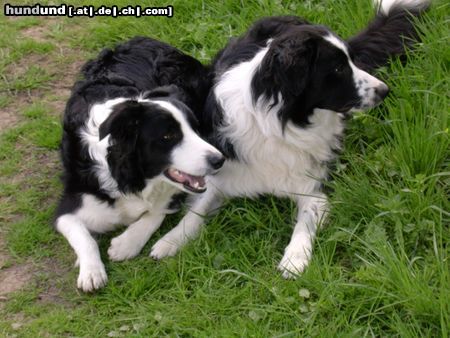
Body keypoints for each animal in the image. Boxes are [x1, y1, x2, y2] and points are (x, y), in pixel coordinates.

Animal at [56, 36, 225, 290]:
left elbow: (157, 212)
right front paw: (91, 272)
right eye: (168, 136)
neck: (131, 176)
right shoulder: (67, 205)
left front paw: (127, 243)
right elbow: (84, 236)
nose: (219, 160)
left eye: (195, 130)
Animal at [149, 0, 430, 278]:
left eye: (350, 61)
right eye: (338, 68)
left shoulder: (314, 185)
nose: (384, 90)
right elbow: (197, 210)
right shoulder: (223, 172)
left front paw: (295, 257)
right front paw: (170, 240)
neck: (280, 123)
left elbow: (304, 220)